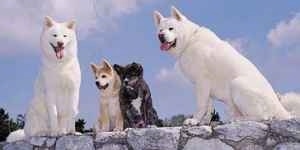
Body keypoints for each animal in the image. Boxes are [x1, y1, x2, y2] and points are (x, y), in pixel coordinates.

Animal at [154, 6, 300, 125]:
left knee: (263, 117)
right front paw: (204, 122)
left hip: (237, 84)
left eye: (171, 28)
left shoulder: (202, 82)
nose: (161, 36)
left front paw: (194, 120)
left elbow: (201, 105)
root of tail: (282, 110)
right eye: (160, 30)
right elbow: (209, 107)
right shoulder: (205, 87)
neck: (190, 40)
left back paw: (238, 119)